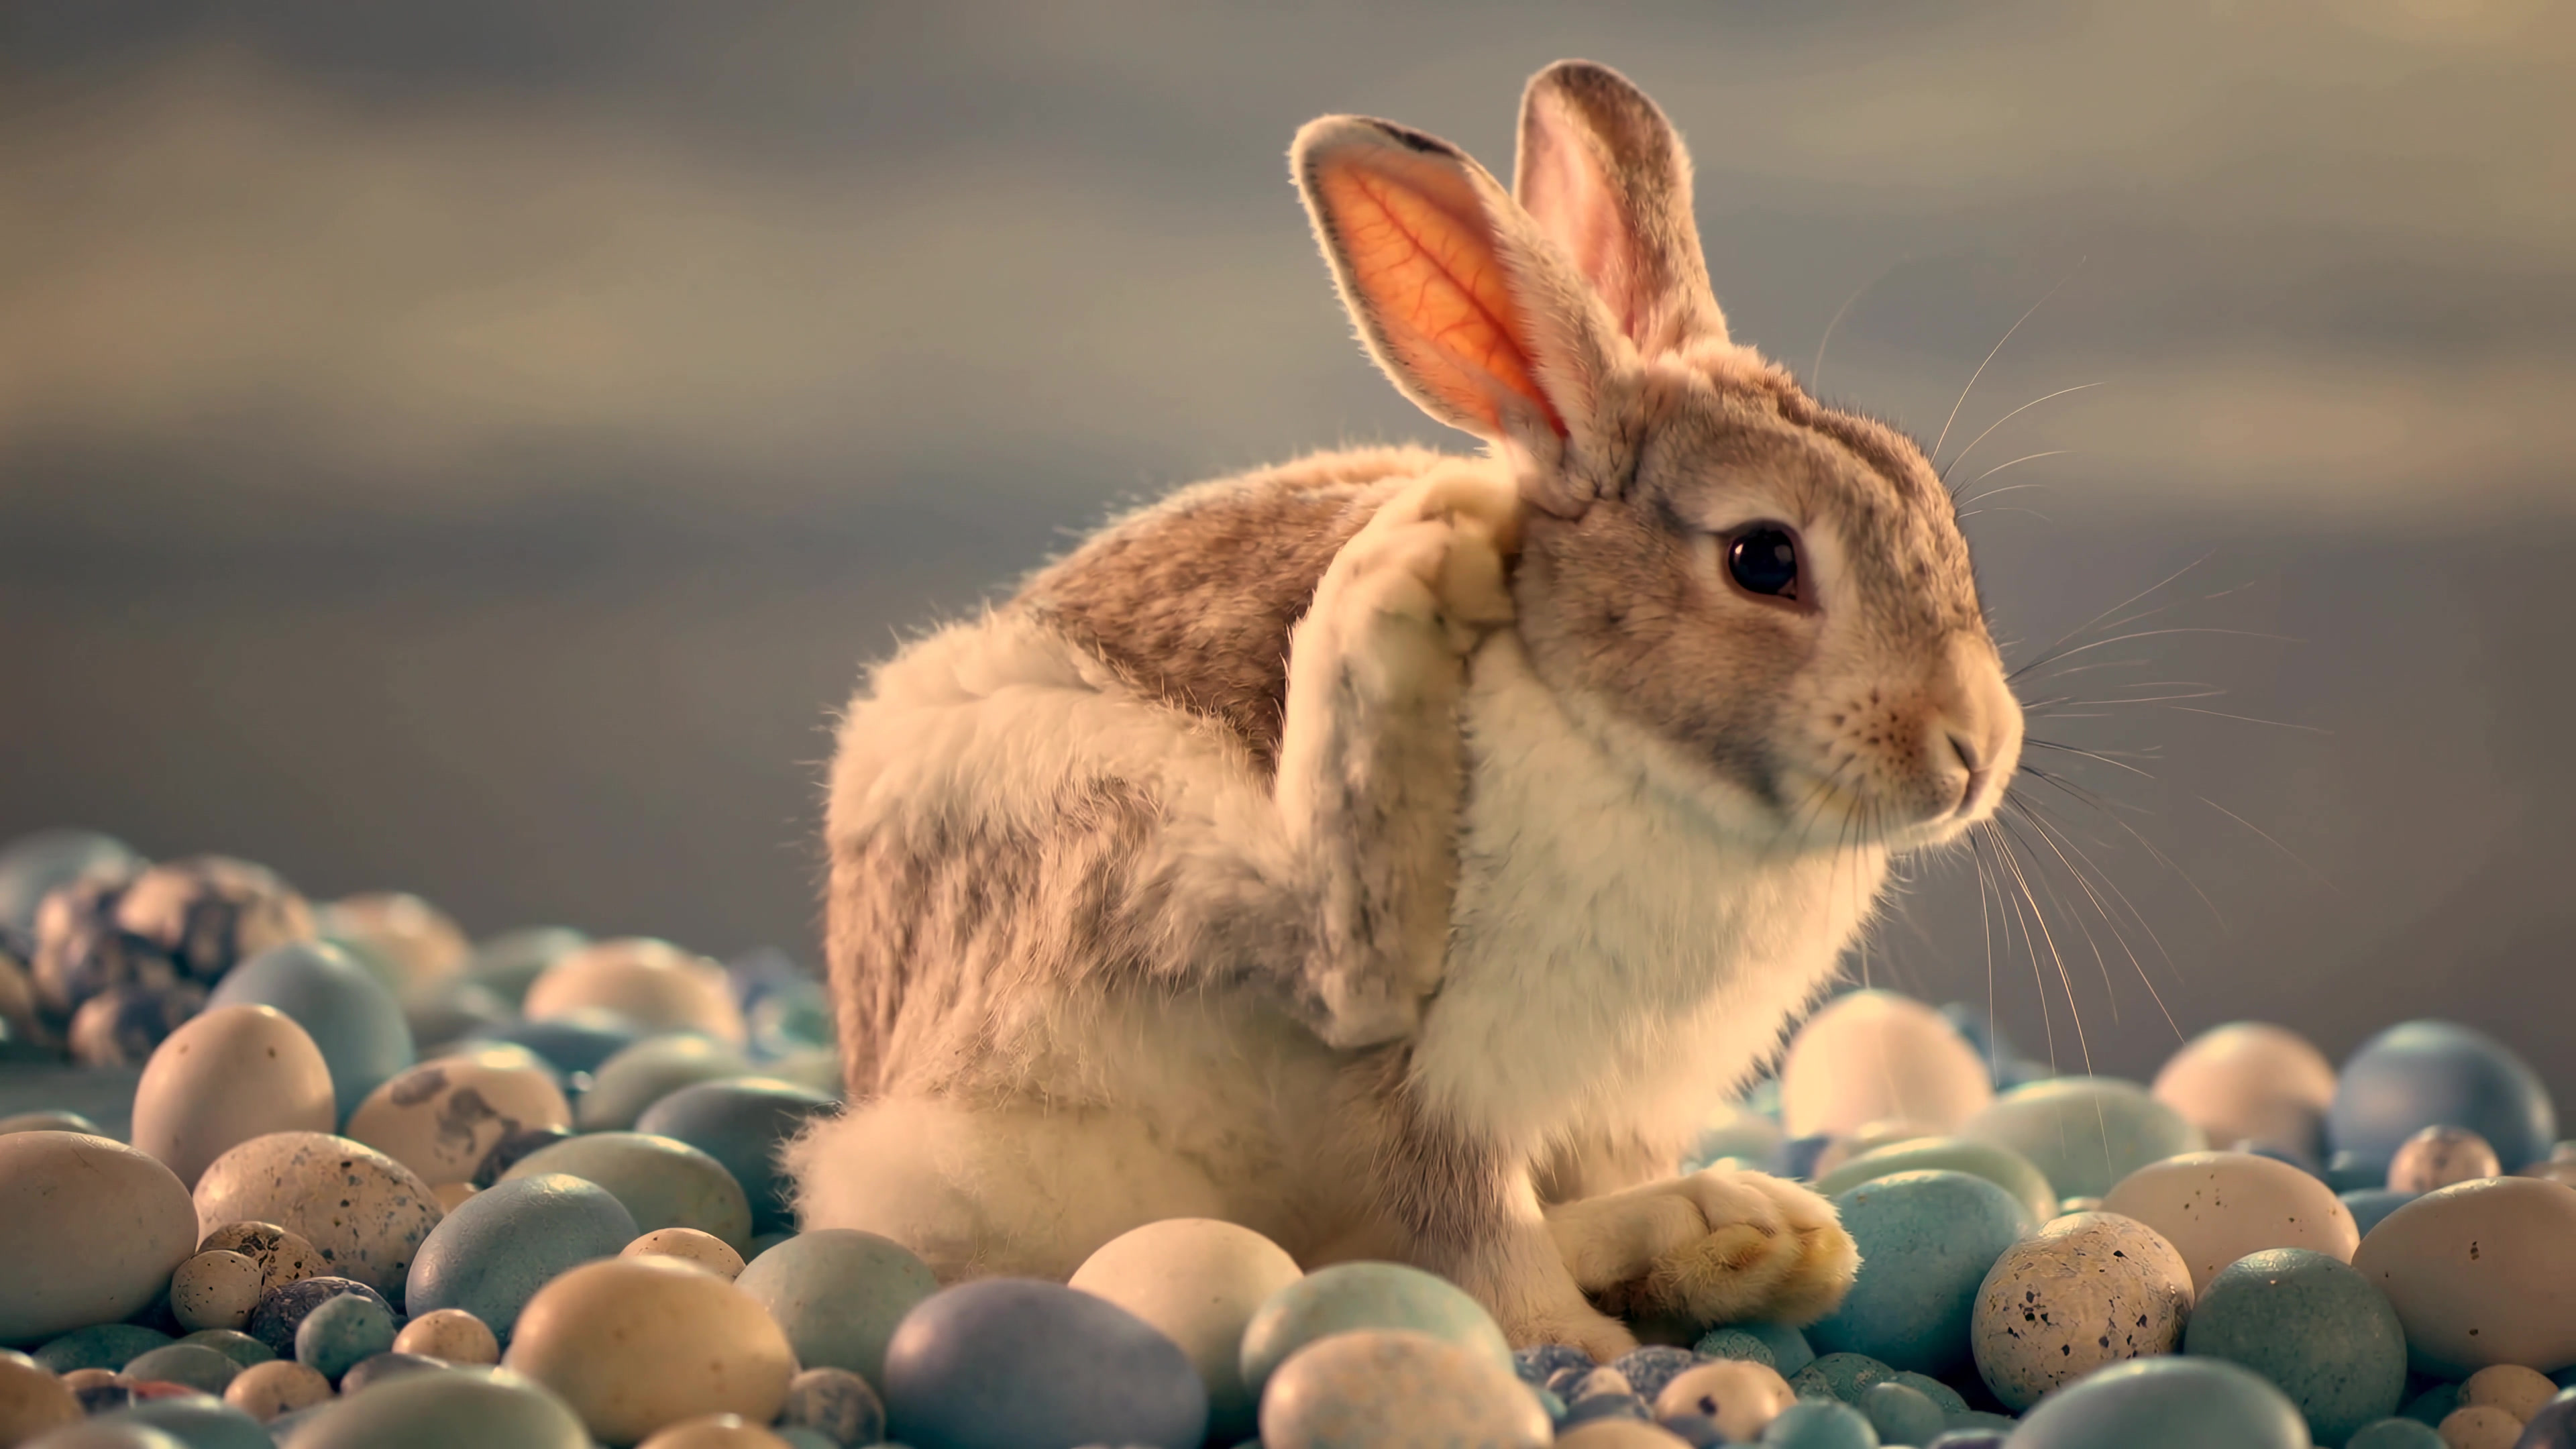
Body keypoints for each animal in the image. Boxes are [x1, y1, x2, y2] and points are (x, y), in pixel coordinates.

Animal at [785, 58, 2025, 1360]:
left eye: (1928, 501)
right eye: (1764, 559)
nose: (1976, 752)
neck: (1624, 743)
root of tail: (882, 1078)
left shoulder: (1615, 1109)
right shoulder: (1440, 1091)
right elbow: (1476, 1233)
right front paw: (1581, 1348)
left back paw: (1746, 1238)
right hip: (1112, 839)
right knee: (1336, 961)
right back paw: (1403, 585)